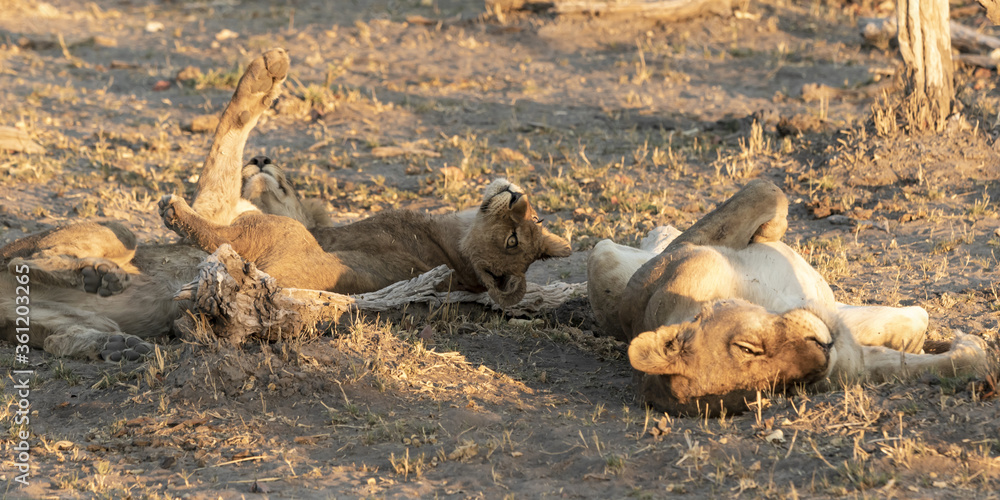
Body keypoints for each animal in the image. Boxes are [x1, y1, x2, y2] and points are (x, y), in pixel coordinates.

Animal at [1, 48, 570, 360]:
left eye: (515, 236)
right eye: (528, 224)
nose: (517, 195)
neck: (451, 243)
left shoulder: (228, 211)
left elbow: (228, 136)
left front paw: (265, 78)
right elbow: (236, 140)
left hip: (134, 234)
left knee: (29, 259)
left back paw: (109, 269)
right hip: (61, 317)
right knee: (55, 331)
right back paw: (111, 332)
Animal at [588, 179, 989, 415]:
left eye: (746, 347)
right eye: (782, 389)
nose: (824, 349)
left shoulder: (684, 258)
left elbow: (763, 193)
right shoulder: (853, 364)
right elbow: (952, 364)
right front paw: (967, 347)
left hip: (605, 256)